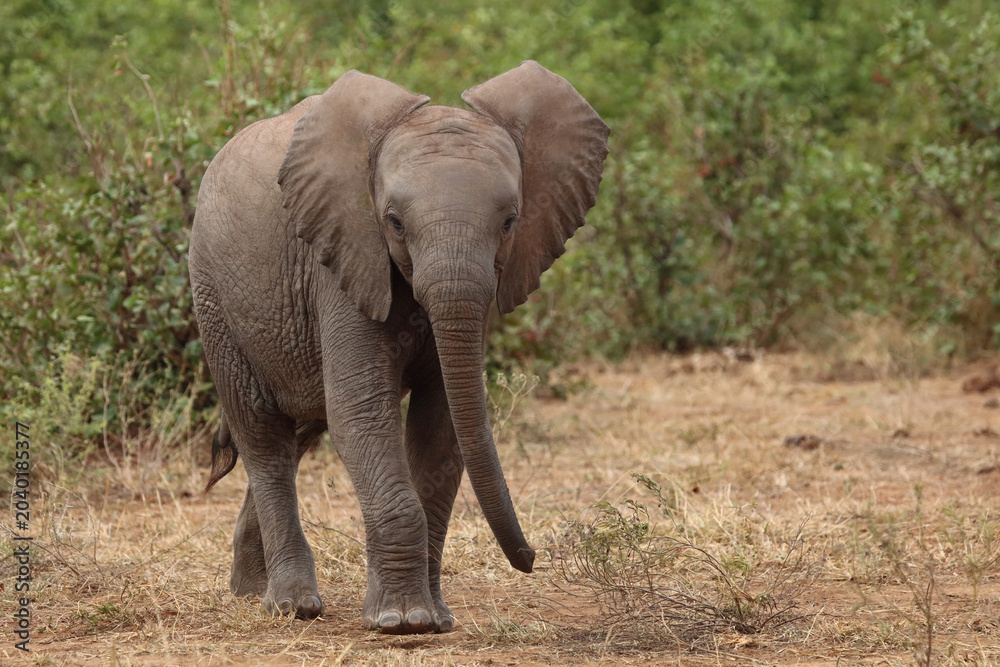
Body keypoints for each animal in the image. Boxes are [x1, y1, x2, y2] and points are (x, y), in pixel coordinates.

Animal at [189, 61, 609, 634]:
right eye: (394, 222)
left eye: (510, 222)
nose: (532, 559)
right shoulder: (342, 260)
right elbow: (362, 413)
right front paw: (402, 622)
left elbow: (443, 424)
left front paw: (437, 618)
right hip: (212, 292)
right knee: (264, 434)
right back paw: (291, 606)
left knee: (300, 431)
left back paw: (251, 591)